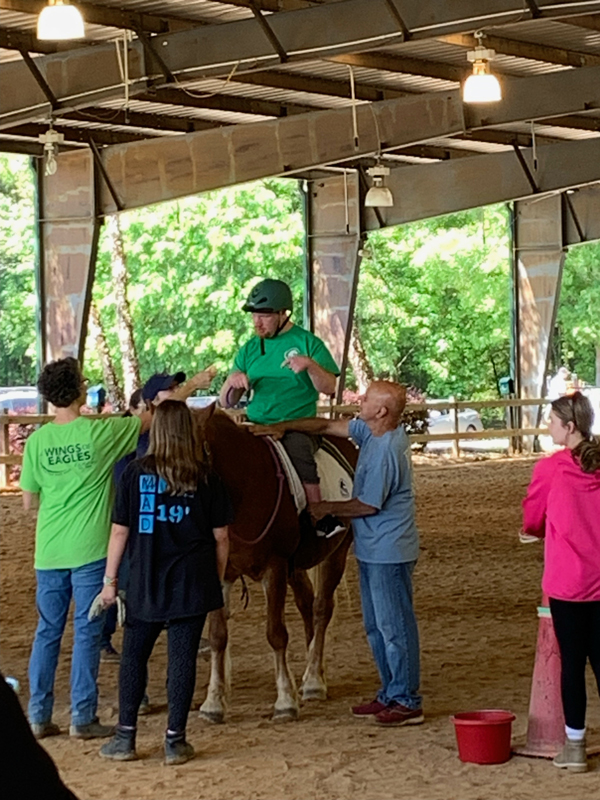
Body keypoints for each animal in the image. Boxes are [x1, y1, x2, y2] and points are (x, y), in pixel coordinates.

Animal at [193, 406, 356, 724]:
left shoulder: (275, 567)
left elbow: (276, 633)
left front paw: (285, 701)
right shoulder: (222, 572)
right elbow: (218, 636)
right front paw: (213, 703)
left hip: (337, 552)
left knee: (321, 608)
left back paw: (314, 680)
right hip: (299, 565)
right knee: (307, 603)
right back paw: (312, 672)